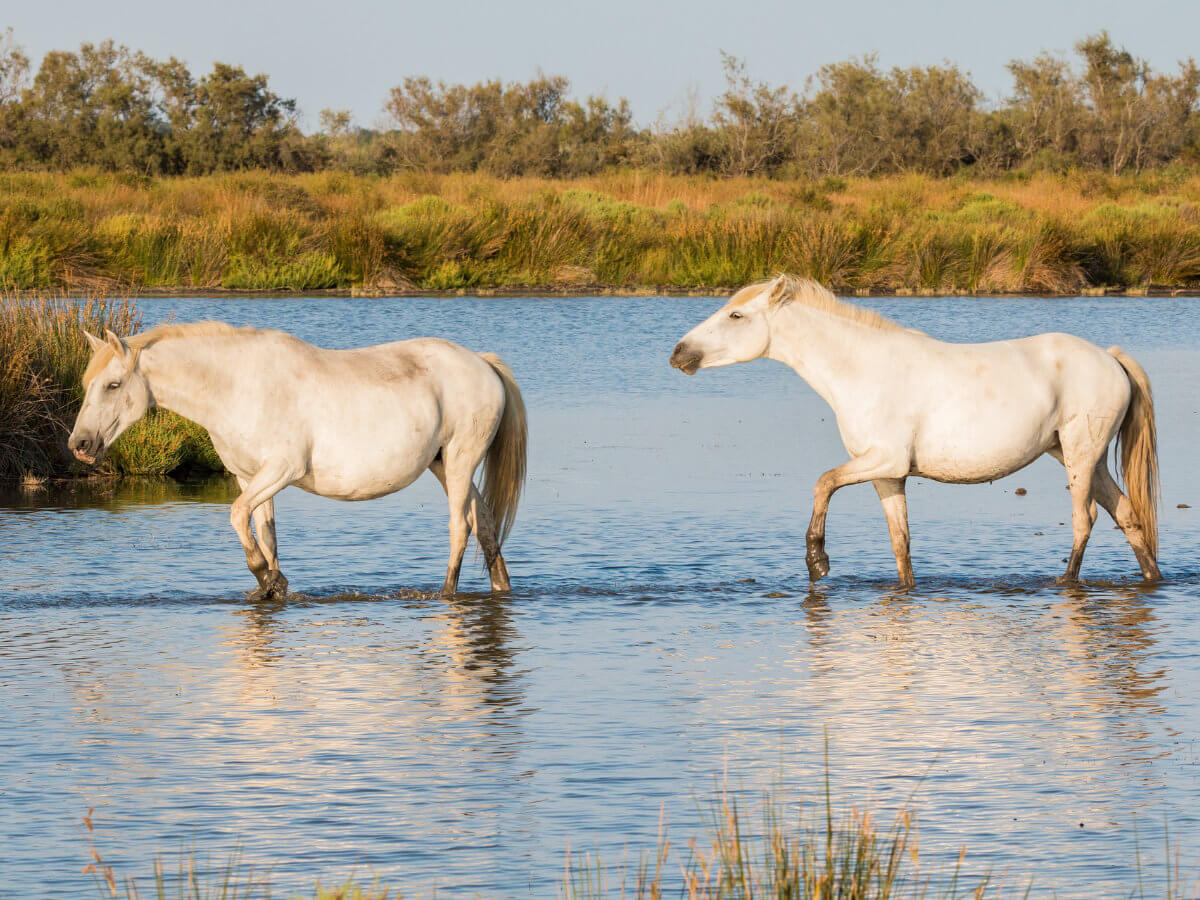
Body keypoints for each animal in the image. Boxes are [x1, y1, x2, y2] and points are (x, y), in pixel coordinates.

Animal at [70, 324, 525, 600]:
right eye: (88, 384)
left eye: (113, 385)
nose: (80, 444)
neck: (236, 386)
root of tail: (483, 363)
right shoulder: (249, 478)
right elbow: (265, 535)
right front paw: (270, 586)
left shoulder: (281, 470)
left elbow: (237, 517)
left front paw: (268, 579)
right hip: (443, 465)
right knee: (485, 525)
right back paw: (501, 587)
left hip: (462, 460)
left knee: (460, 528)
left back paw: (446, 594)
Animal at [672, 278, 1156, 588]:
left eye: (736, 314)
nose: (678, 353)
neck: (860, 369)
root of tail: (1109, 357)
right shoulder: (888, 475)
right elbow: (900, 543)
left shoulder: (883, 460)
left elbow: (823, 482)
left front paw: (817, 561)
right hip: (1081, 457)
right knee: (1129, 516)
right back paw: (1152, 576)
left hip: (1080, 455)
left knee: (1084, 520)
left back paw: (1066, 581)